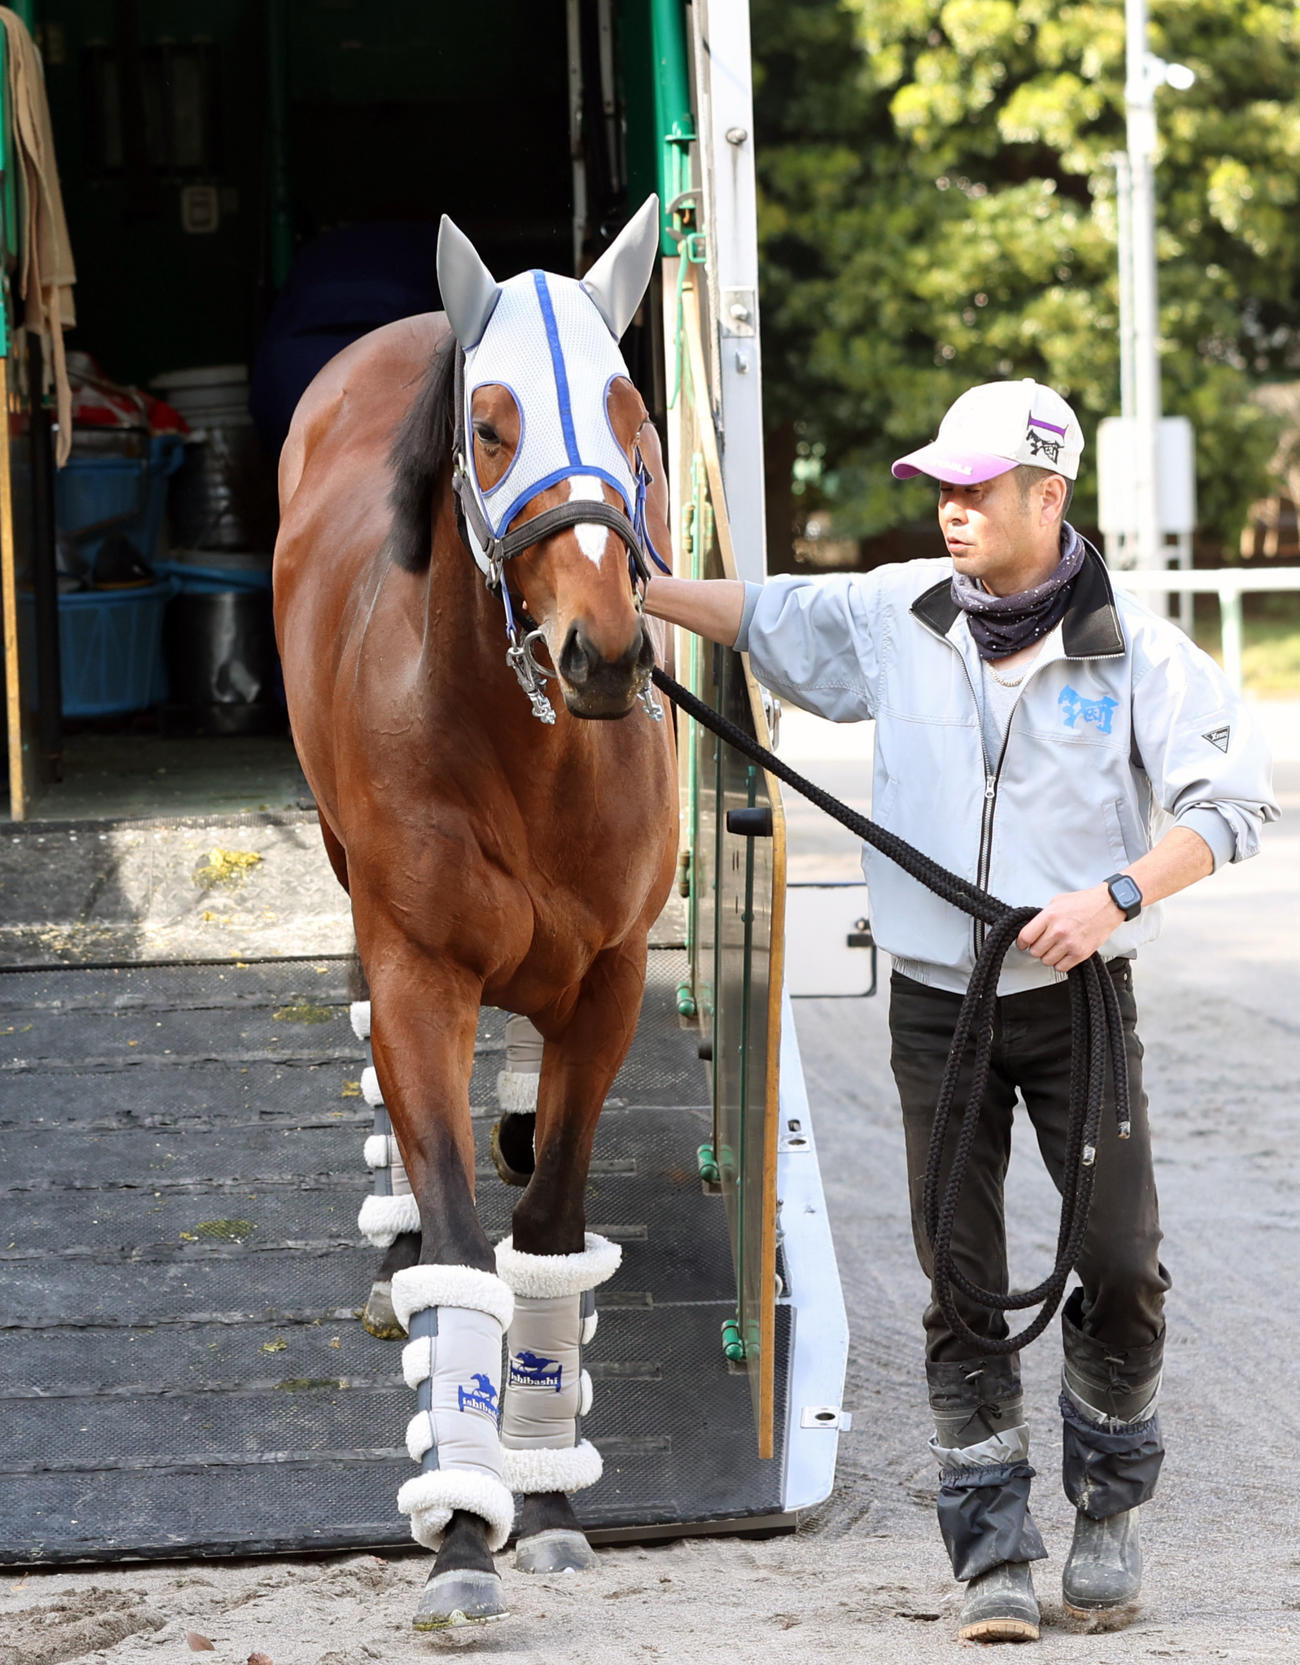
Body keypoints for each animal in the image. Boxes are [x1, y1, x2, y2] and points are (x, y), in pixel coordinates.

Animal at [273, 198, 679, 1628]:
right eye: (492, 424)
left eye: (632, 414)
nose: (602, 651)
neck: (526, 753)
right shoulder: (418, 974)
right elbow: (460, 1248)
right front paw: (460, 1533)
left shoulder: (611, 980)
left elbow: (545, 1232)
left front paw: (547, 1506)